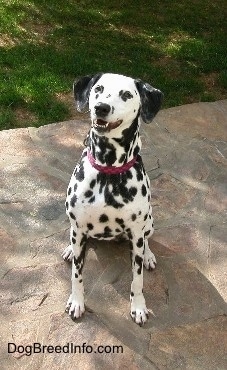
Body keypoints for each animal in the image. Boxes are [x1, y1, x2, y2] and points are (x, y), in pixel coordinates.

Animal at [62, 73, 163, 326]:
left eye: (126, 94)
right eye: (98, 88)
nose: (101, 107)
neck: (108, 172)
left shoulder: (136, 234)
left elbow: (137, 278)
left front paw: (138, 306)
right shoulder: (79, 228)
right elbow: (76, 274)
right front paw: (76, 302)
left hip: (149, 222)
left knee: (147, 240)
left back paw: (149, 256)